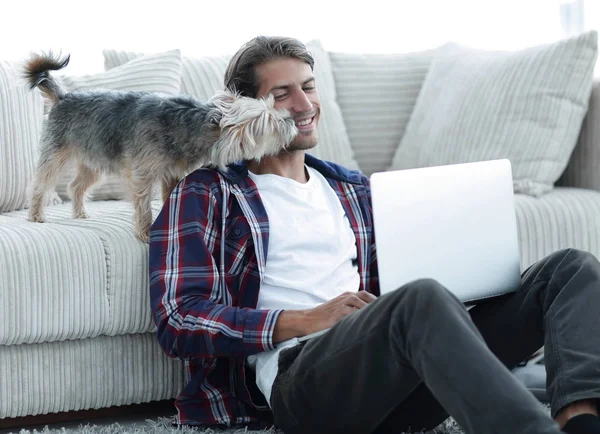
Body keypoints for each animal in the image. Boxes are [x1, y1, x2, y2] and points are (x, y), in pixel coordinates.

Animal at [22, 52, 298, 242]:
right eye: (271, 122)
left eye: (274, 106)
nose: (292, 121)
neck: (193, 123)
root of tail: (63, 96)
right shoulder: (143, 175)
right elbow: (143, 205)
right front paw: (145, 233)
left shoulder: (172, 174)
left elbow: (169, 198)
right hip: (56, 155)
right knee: (40, 184)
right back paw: (36, 215)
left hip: (95, 160)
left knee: (75, 186)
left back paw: (79, 213)